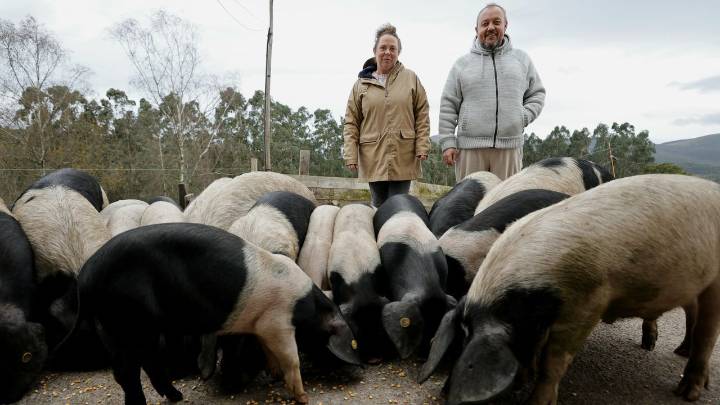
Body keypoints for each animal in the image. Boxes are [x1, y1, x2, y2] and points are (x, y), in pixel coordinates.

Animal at [72, 223, 361, 404]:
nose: (355, 371)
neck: (304, 305)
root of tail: (85, 278)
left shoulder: (261, 327)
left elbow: (269, 352)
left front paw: (274, 373)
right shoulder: (277, 322)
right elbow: (292, 358)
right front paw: (303, 397)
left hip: (114, 326)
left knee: (143, 364)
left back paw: (177, 397)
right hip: (130, 318)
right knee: (129, 371)